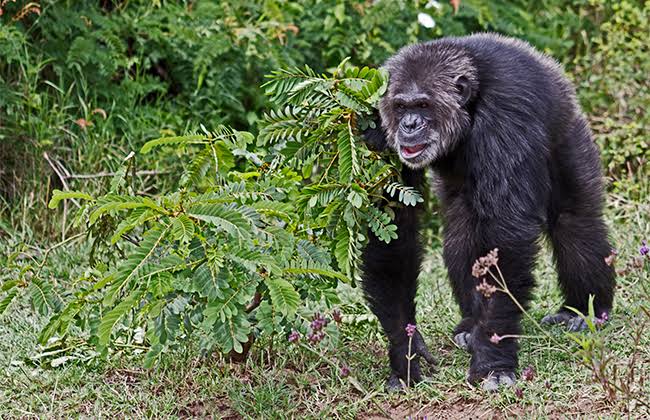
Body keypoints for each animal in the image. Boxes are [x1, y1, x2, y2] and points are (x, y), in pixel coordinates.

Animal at [361, 33, 615, 391]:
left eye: (423, 105)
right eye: (401, 106)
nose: (409, 125)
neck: (469, 106)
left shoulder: (506, 119)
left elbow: (506, 234)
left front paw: (492, 362)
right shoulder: (377, 127)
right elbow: (392, 225)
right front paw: (405, 351)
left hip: (570, 133)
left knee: (574, 221)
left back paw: (583, 311)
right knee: (461, 231)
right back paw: (470, 325)